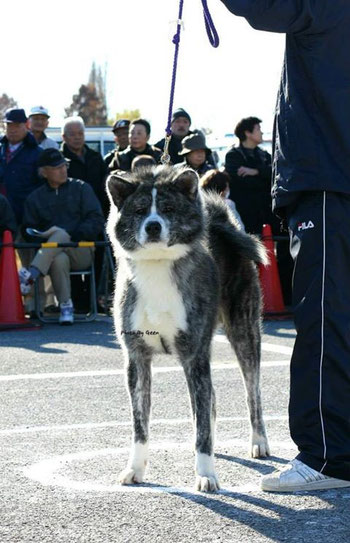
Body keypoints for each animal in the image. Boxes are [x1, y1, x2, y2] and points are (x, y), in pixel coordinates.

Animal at [106, 166, 270, 492]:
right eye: (140, 210)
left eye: (168, 209)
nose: (153, 227)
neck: (157, 265)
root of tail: (220, 223)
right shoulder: (137, 358)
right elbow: (140, 423)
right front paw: (135, 469)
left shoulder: (195, 354)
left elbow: (203, 425)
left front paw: (206, 474)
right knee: (210, 401)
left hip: (244, 332)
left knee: (252, 392)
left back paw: (259, 442)